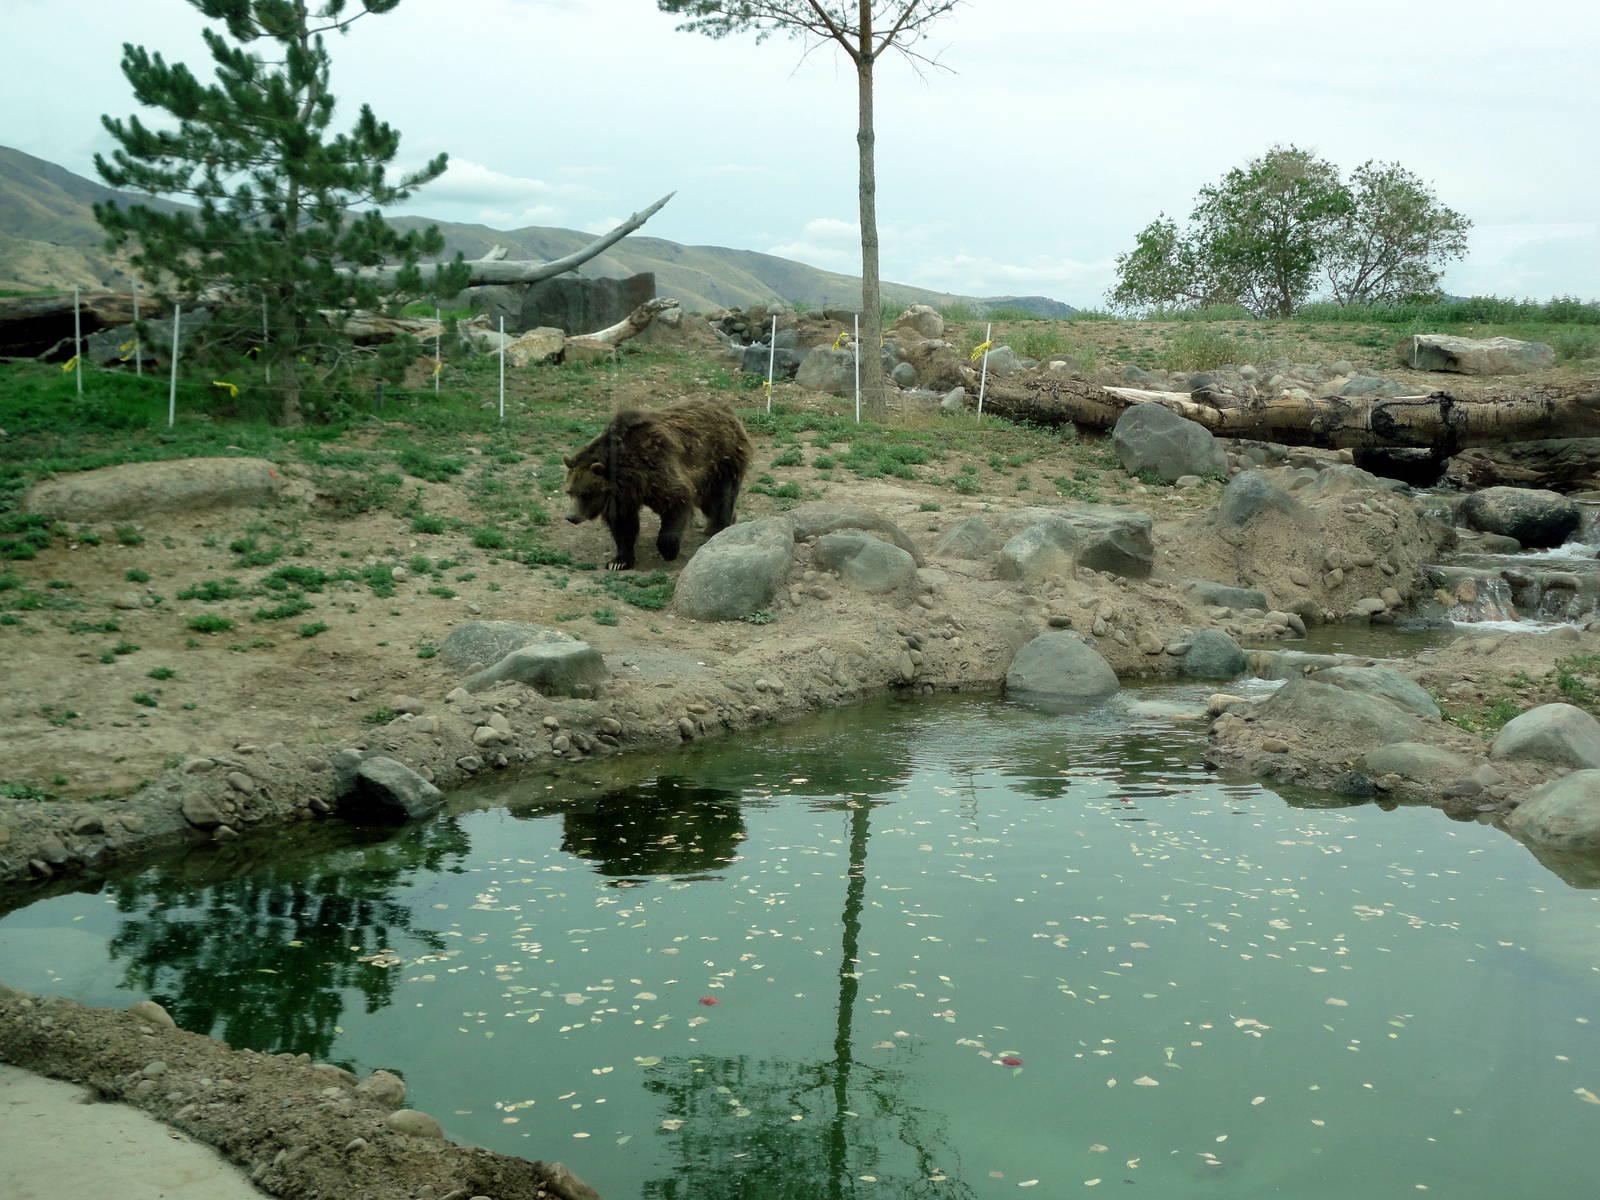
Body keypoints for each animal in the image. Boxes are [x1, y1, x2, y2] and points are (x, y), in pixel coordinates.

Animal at [563, 398, 753, 571]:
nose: (571, 517)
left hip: (720, 461)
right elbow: (624, 525)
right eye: (570, 491)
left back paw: (718, 528)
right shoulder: (624, 496)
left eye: (586, 493)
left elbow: (677, 501)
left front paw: (669, 550)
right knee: (711, 502)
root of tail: (726, 408)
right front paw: (619, 561)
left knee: (721, 496)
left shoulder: (657, 468)